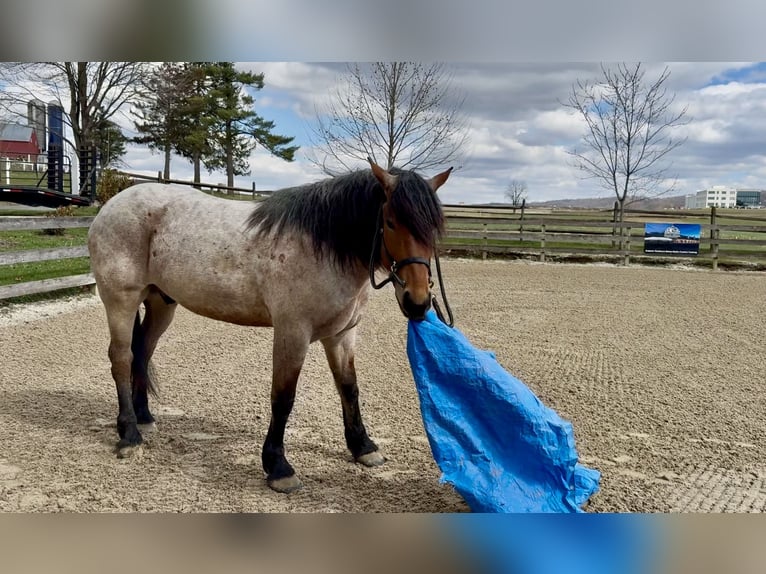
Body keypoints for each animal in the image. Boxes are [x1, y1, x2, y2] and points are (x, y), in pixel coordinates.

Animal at [87, 159, 452, 493]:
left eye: (434, 228)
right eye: (390, 222)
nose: (417, 302)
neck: (322, 245)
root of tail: (111, 206)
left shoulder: (342, 335)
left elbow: (348, 387)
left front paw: (363, 447)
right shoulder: (293, 332)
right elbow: (283, 397)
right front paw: (278, 467)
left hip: (161, 303)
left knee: (142, 353)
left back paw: (145, 419)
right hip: (121, 301)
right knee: (121, 359)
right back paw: (129, 435)